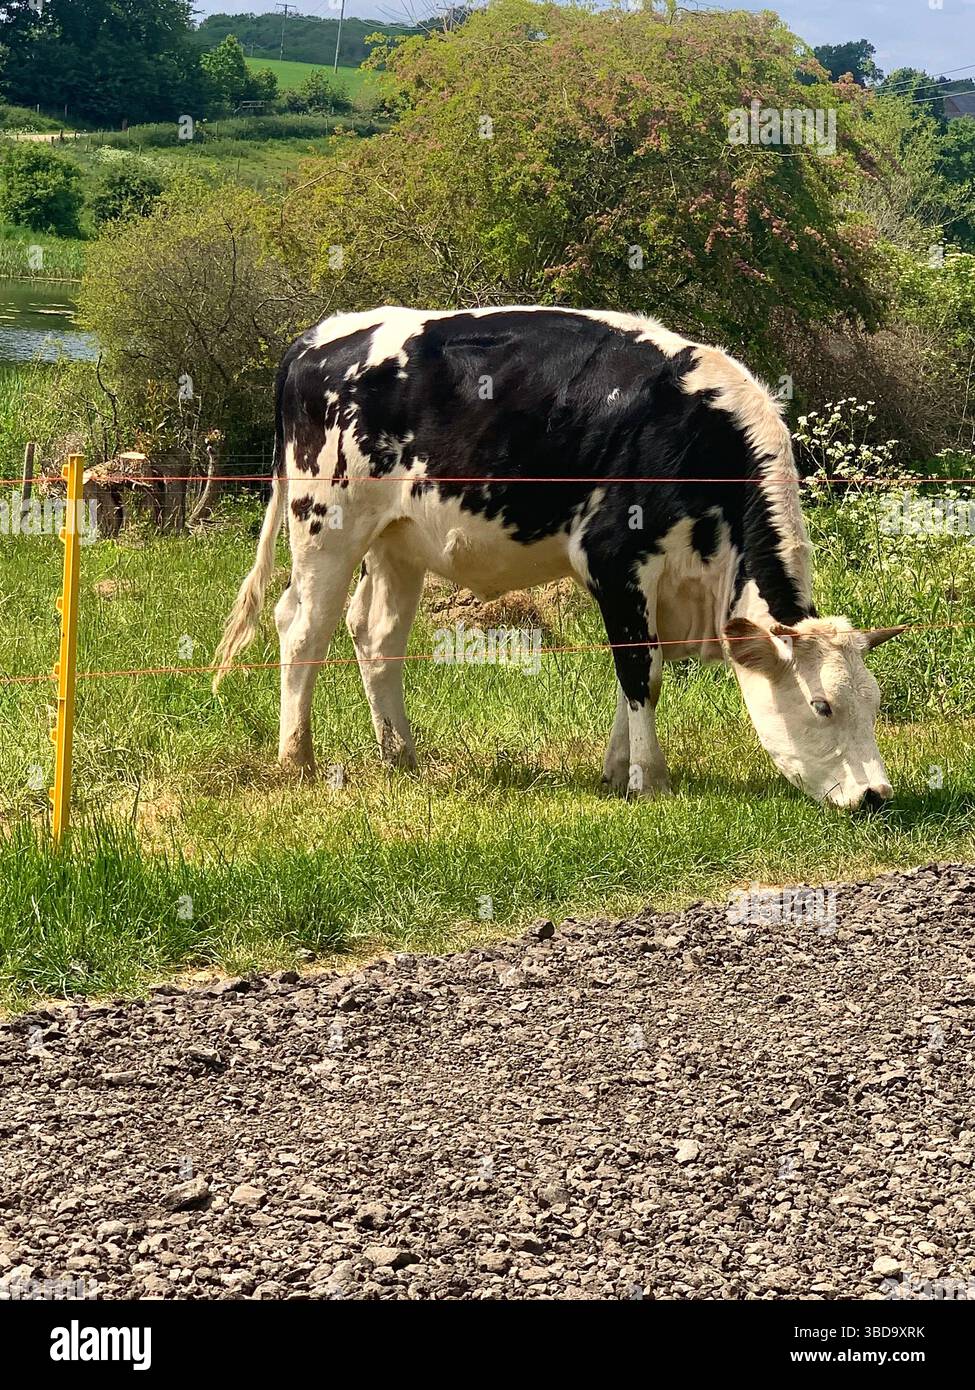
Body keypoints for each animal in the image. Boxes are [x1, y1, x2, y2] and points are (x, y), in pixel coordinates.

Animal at [213, 306, 902, 809]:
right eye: (822, 705)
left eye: (874, 702)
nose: (876, 794)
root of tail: (317, 338)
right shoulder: (615, 560)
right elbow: (640, 671)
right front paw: (650, 780)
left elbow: (643, 677)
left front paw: (617, 770)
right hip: (325, 522)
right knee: (302, 628)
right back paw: (298, 760)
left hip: (397, 539)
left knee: (375, 635)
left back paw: (401, 757)